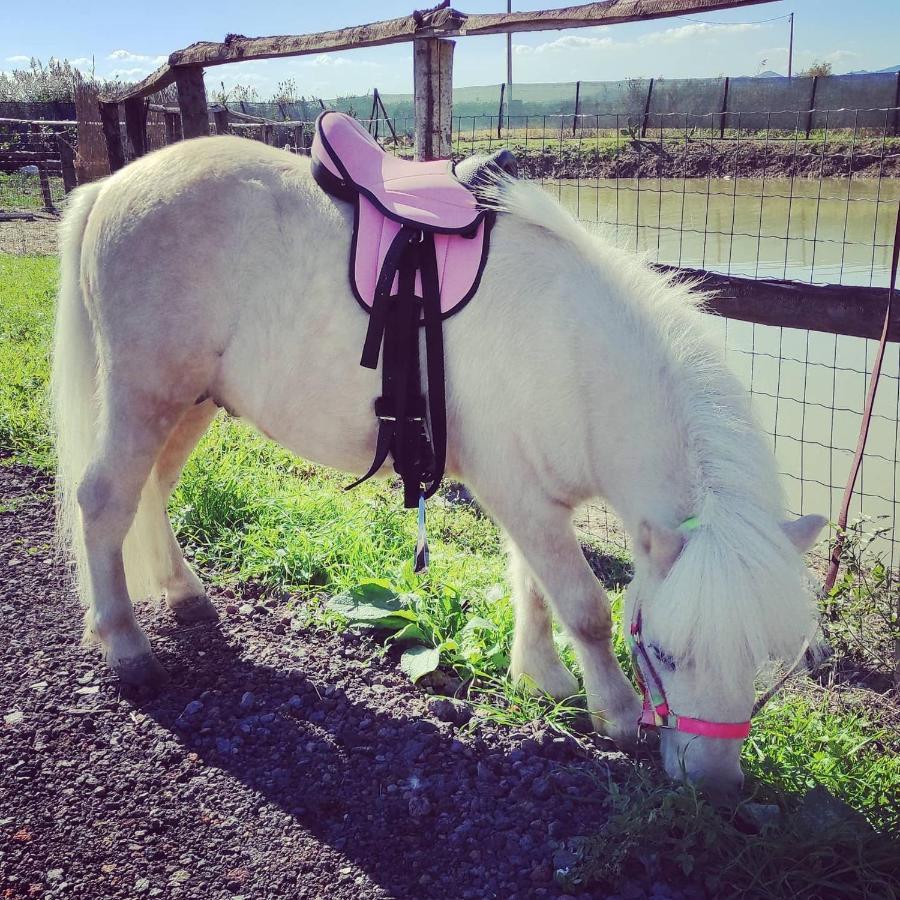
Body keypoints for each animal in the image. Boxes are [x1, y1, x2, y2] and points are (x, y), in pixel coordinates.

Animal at [49, 134, 824, 796]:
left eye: (761, 654)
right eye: (662, 654)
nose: (713, 786)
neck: (575, 354)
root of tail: (113, 185)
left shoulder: (531, 495)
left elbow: (532, 584)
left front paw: (540, 677)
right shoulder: (519, 494)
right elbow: (583, 606)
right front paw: (614, 713)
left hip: (191, 403)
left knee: (150, 491)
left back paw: (184, 596)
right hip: (145, 392)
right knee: (105, 501)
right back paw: (127, 649)